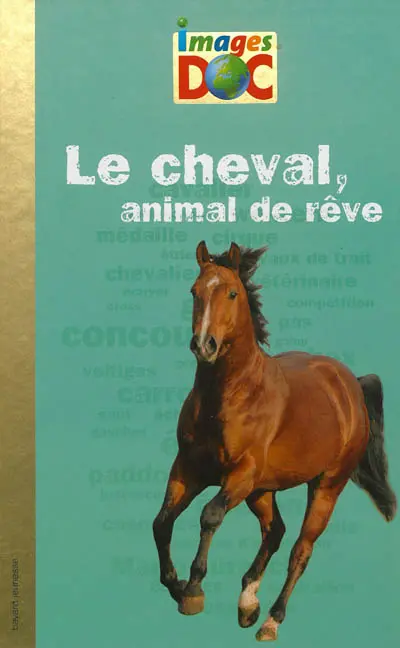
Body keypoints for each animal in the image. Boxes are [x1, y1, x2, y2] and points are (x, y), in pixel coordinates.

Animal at [153, 241, 397, 641]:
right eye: (194, 291)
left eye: (232, 293)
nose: (204, 345)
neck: (230, 396)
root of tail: (351, 386)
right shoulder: (188, 469)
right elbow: (162, 522)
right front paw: (176, 585)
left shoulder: (241, 474)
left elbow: (209, 515)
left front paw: (193, 589)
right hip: (262, 490)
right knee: (275, 531)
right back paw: (247, 604)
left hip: (325, 486)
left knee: (300, 549)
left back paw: (270, 619)